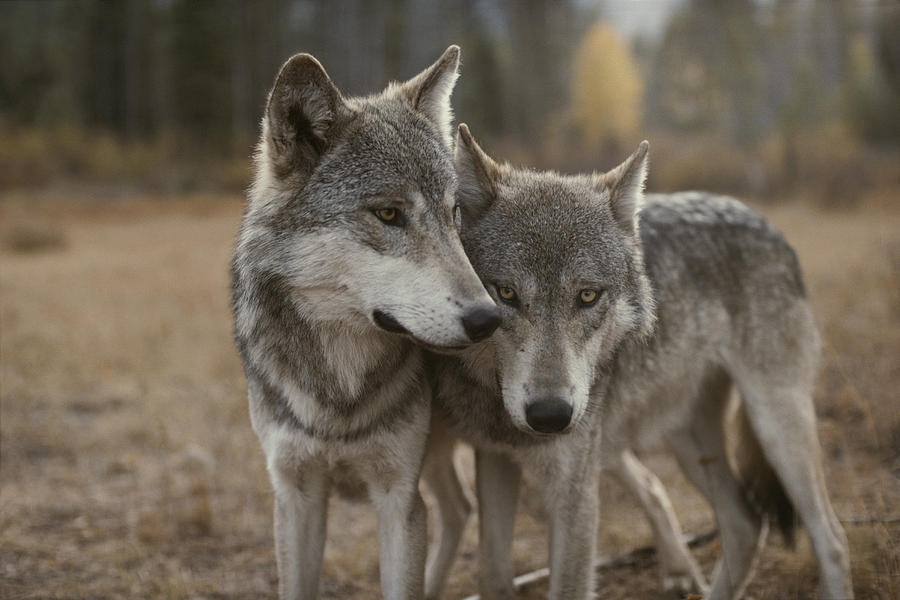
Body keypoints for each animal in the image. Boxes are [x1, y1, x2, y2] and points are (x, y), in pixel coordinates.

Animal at [232, 48, 500, 600]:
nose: (488, 318)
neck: (340, 396)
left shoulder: (398, 495)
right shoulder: (295, 495)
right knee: (459, 508)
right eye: (389, 214)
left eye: (454, 213)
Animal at [422, 124, 852, 596]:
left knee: (830, 537)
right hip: (688, 440)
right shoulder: (496, 458)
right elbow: (494, 575)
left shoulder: (575, 494)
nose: (550, 416)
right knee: (744, 523)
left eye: (588, 295)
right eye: (506, 293)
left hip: (775, 426)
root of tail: (763, 220)